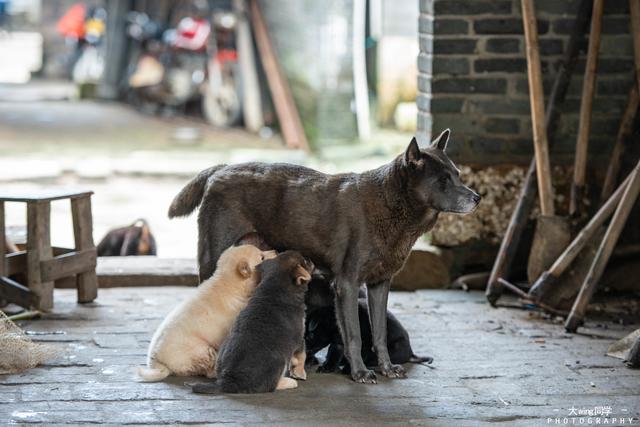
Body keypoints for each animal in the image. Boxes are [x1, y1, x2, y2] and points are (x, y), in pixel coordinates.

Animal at [194, 251, 316, 394]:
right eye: (305, 261)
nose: (311, 259)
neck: (275, 287)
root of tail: (228, 380)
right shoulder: (299, 338)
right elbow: (302, 355)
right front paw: (300, 373)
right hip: (279, 361)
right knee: (270, 386)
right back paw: (288, 382)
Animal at [306, 278, 436, 374]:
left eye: (309, 335)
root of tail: (411, 353)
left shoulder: (365, 344)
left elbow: (360, 354)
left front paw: (351, 369)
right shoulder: (338, 343)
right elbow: (333, 353)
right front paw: (327, 367)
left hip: (390, 350)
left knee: (373, 359)